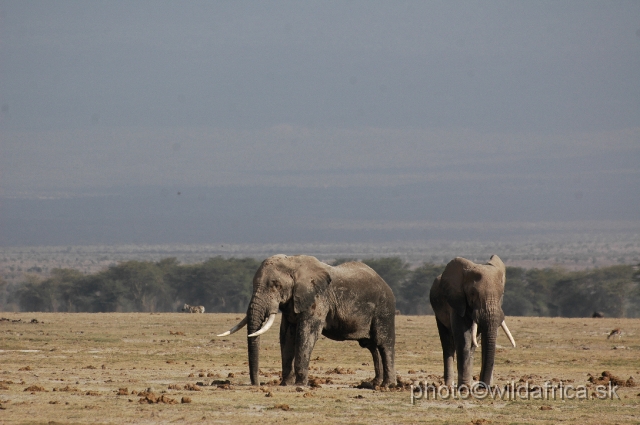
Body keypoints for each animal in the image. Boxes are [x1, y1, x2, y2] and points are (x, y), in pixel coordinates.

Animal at [430, 255, 516, 388]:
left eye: (502, 293)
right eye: (472, 293)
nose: (483, 386)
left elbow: (478, 339)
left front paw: (480, 386)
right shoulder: (457, 303)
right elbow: (463, 338)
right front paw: (464, 387)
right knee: (447, 343)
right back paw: (449, 385)